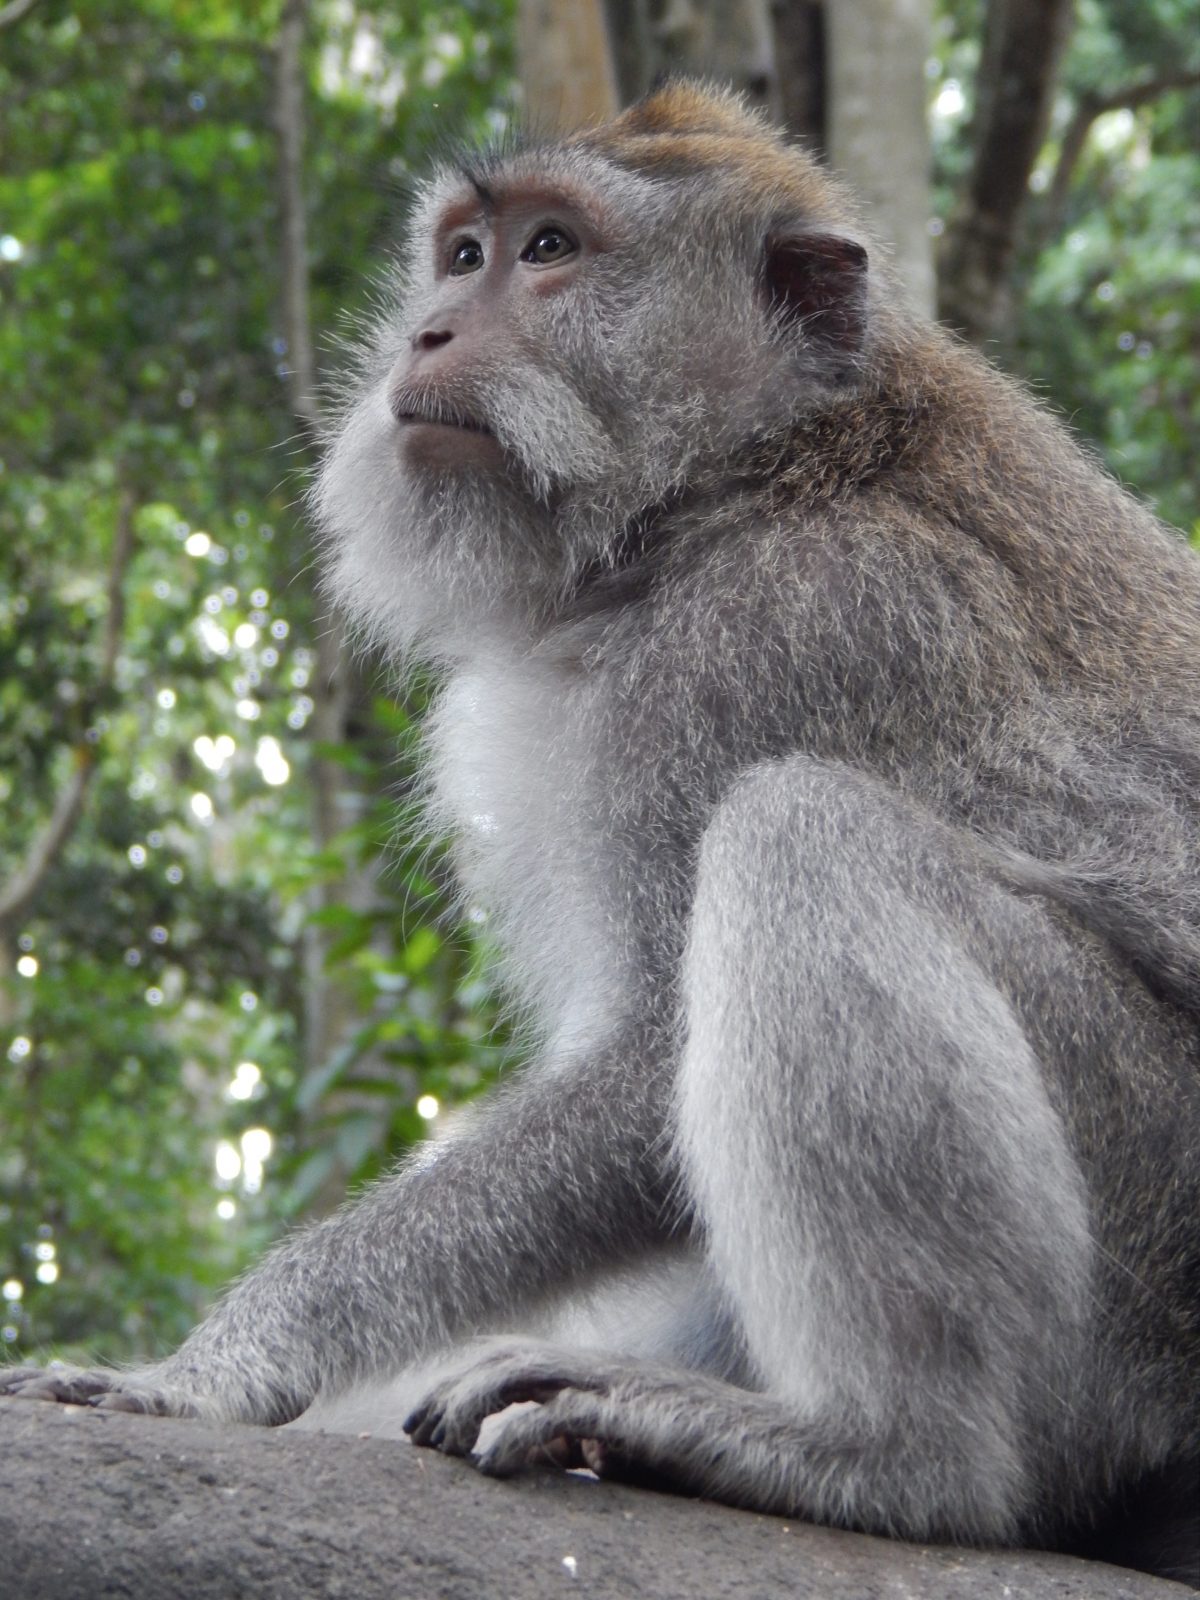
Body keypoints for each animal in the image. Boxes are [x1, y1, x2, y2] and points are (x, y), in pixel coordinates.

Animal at [2, 84, 1200, 1587]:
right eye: (461, 256)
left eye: (552, 251)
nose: (428, 334)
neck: (756, 474)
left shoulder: (775, 640)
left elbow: (643, 1074)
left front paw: (219, 1363)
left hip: (1148, 1250)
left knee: (802, 833)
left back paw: (879, 1453)